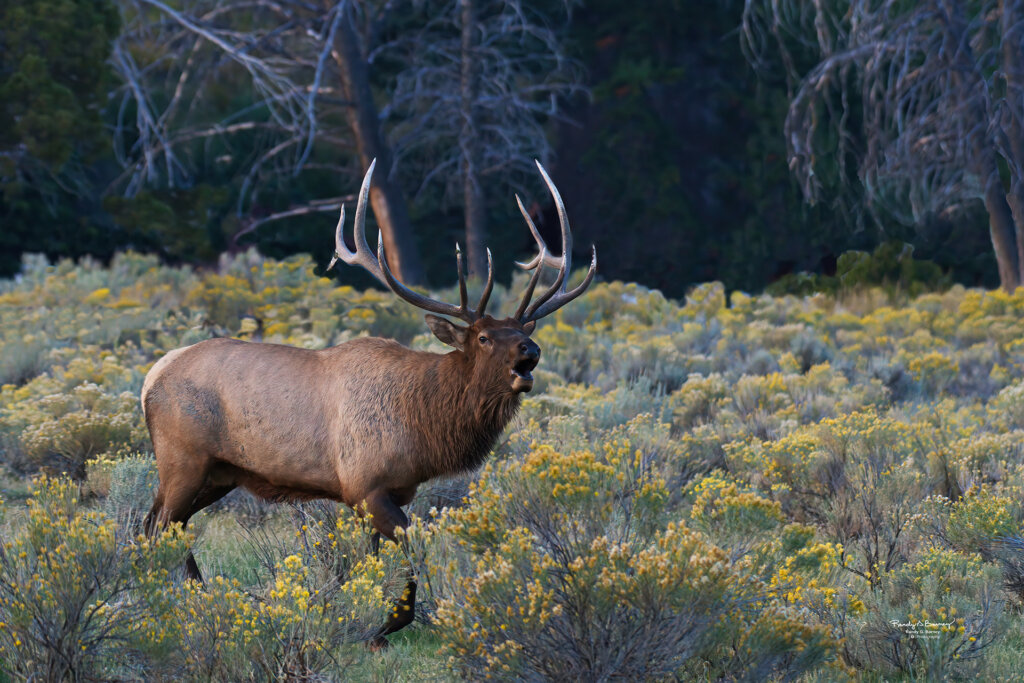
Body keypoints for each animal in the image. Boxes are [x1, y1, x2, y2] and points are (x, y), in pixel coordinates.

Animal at [140, 158, 598, 647]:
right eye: (485, 337)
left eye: (524, 331)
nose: (530, 351)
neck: (423, 425)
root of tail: (150, 379)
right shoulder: (365, 484)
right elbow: (414, 550)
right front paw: (385, 625)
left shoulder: (386, 493)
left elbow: (370, 560)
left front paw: (364, 621)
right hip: (184, 460)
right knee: (160, 527)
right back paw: (184, 603)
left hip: (218, 474)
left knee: (157, 525)